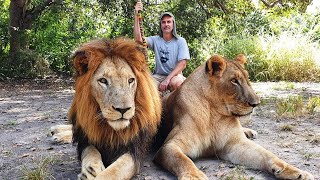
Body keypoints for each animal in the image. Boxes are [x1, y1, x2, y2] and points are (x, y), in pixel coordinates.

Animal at [52, 37, 164, 179]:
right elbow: (90, 151)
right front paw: (90, 170)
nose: (123, 110)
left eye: (131, 80)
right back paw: (56, 132)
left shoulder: (135, 150)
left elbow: (114, 171)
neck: (111, 130)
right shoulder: (85, 140)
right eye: (103, 81)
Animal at [154, 54, 314, 179]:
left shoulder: (234, 144)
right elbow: (183, 160)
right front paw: (195, 176)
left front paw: (296, 172)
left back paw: (250, 132)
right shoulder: (169, 146)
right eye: (234, 81)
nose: (256, 103)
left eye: (247, 79)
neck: (214, 114)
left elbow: (267, 154)